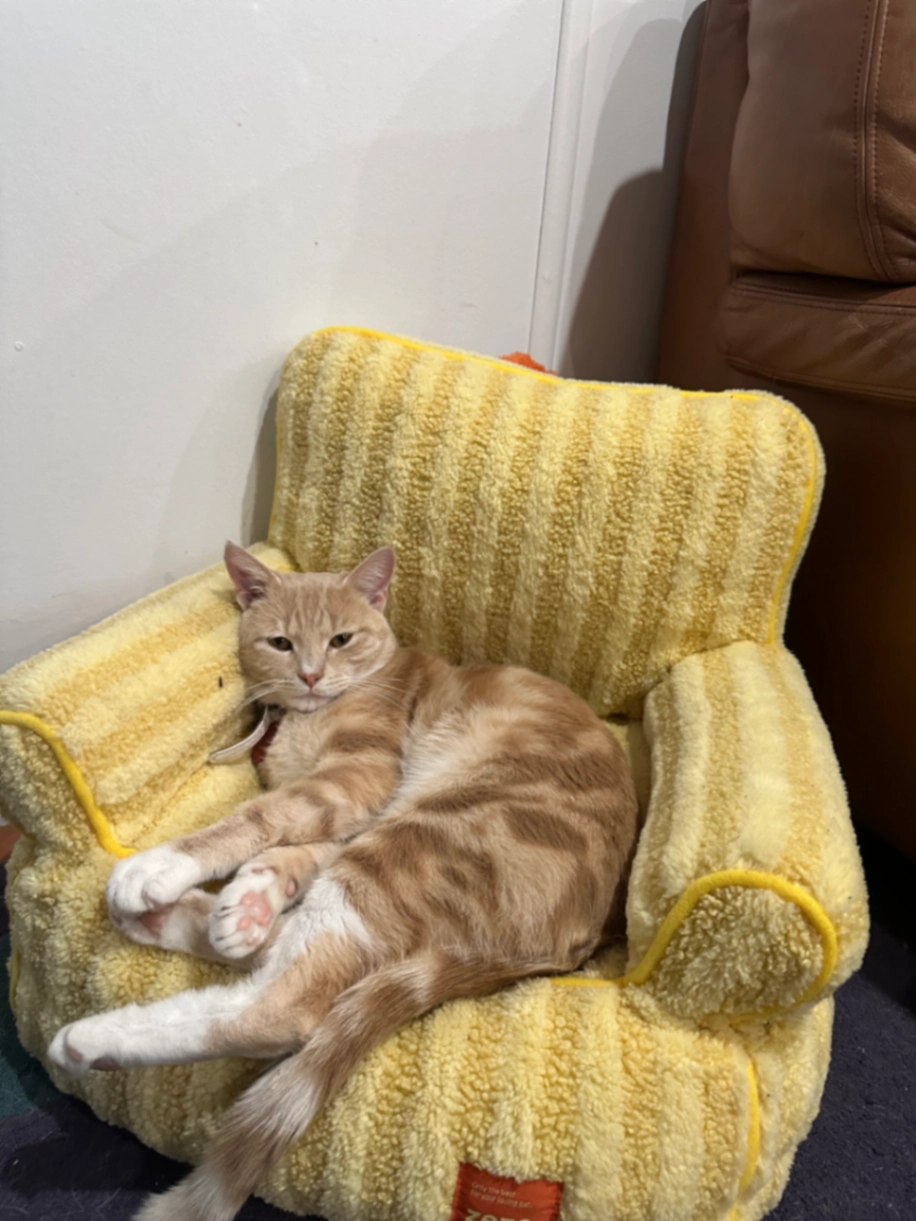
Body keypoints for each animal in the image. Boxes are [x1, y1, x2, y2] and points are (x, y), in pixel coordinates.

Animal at [49, 542, 639, 1221]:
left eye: (340, 639)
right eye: (280, 642)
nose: (309, 675)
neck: (310, 718)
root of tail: (569, 948)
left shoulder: (358, 779)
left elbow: (259, 819)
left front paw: (168, 867)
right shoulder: (351, 808)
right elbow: (293, 849)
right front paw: (250, 900)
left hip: (421, 837)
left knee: (284, 1008)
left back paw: (96, 1029)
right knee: (295, 957)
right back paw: (172, 924)